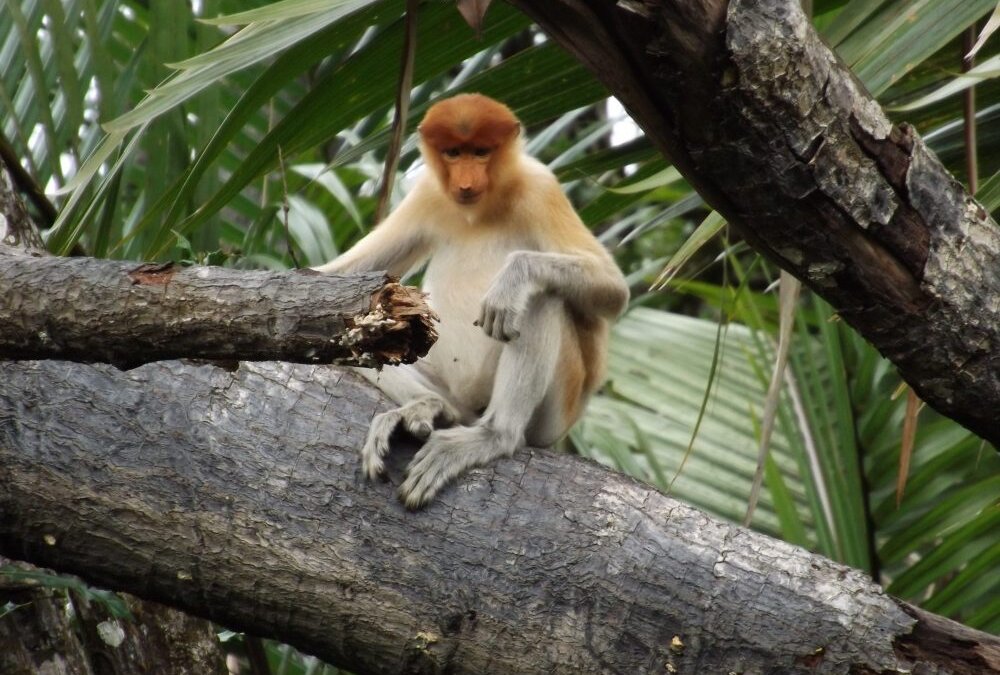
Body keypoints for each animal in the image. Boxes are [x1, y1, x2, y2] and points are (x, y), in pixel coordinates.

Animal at [315, 93, 629, 508]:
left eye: (481, 152)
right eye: (453, 153)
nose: (465, 182)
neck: (478, 211)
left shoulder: (540, 187)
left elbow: (613, 290)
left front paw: (514, 278)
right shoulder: (427, 194)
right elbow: (345, 274)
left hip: (556, 414)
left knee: (542, 299)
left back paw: (494, 435)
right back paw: (429, 407)